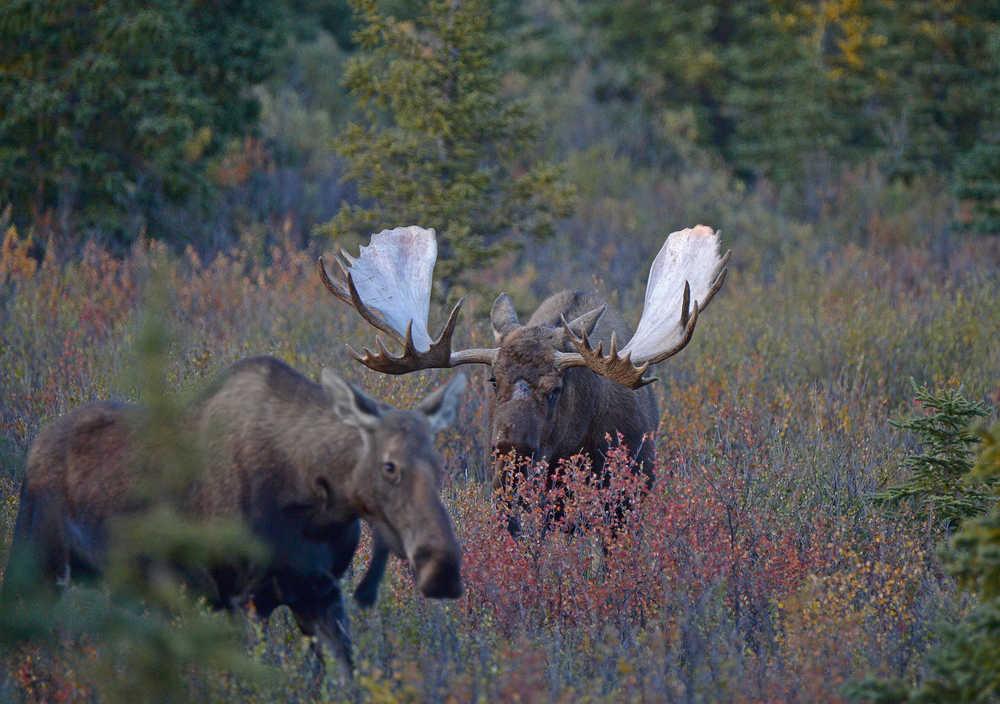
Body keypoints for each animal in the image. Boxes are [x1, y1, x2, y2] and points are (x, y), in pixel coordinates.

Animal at [3, 356, 466, 679]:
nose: (442, 566)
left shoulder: (320, 591)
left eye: (439, 463)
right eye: (390, 466)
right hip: (39, 562)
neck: (314, 508)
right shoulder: (242, 597)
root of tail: (34, 447)